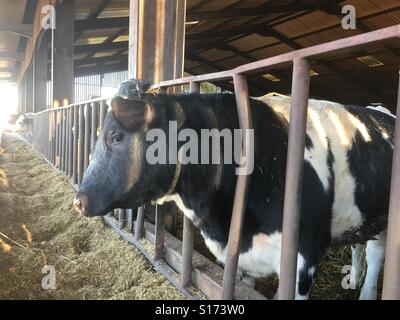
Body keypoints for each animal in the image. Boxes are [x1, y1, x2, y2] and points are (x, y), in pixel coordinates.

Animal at [73, 79, 396, 298]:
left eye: (116, 136)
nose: (78, 200)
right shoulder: (239, 261)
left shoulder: (303, 260)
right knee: (360, 244)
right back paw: (353, 278)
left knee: (377, 253)